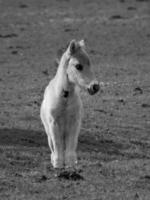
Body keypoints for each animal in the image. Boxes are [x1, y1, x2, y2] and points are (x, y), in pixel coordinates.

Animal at [40, 39, 99, 169]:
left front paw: (70, 164)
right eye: (78, 66)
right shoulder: (54, 123)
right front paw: (58, 164)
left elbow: (71, 144)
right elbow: (57, 144)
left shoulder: (74, 123)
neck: (64, 98)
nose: (95, 87)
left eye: (90, 64)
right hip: (48, 132)